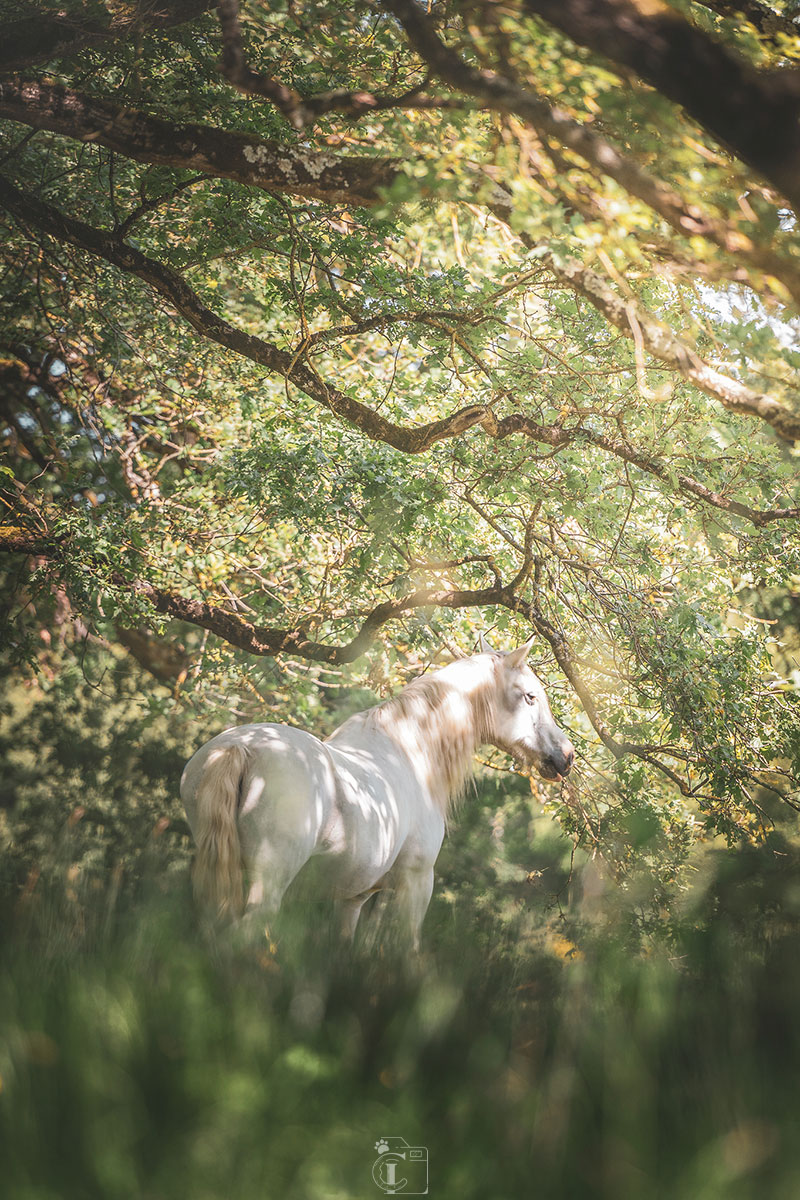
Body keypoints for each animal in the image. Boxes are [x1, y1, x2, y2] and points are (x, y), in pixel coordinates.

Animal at [179, 638, 575, 945]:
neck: (411, 750)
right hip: (268, 884)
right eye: (530, 697)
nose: (566, 756)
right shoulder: (415, 883)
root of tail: (240, 749)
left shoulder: (354, 899)